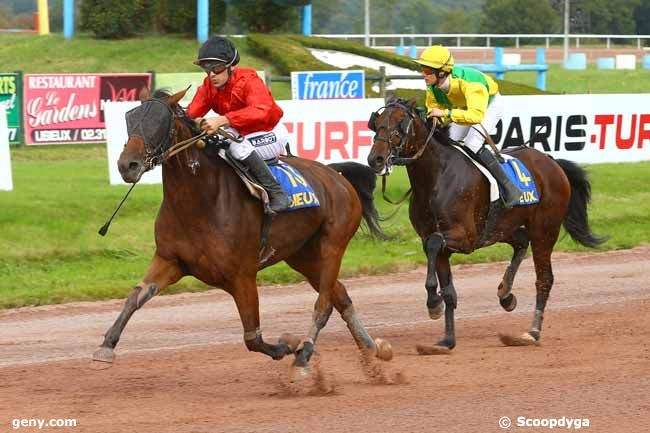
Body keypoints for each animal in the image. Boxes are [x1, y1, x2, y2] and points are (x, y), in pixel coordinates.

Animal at [92, 88, 390, 374]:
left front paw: (285, 347)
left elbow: (252, 338)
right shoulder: (170, 260)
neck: (200, 202)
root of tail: (336, 175)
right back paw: (372, 349)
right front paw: (106, 347)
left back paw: (305, 354)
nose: (127, 165)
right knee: (340, 295)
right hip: (303, 255)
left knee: (324, 304)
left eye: (159, 122)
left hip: (332, 246)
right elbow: (135, 296)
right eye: (130, 119)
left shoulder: (242, 276)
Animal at [364, 98, 604, 354]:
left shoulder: (465, 237)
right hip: (502, 227)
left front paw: (433, 303)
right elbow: (448, 289)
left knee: (544, 278)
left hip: (544, 230)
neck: (436, 177)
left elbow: (434, 243)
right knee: (521, 242)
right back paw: (506, 294)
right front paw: (447, 338)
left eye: (401, 123)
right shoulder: (438, 241)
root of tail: (552, 162)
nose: (375, 159)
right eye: (377, 122)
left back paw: (532, 332)